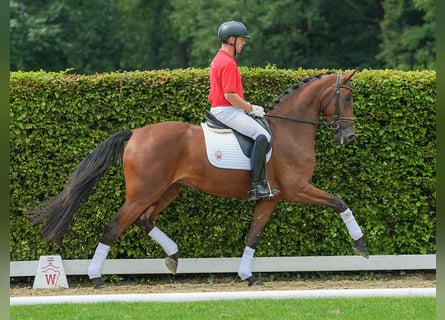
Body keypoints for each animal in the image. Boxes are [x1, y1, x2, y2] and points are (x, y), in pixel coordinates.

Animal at [28, 69, 368, 288]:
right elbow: (340, 202)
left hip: (169, 189)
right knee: (115, 225)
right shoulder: (298, 189)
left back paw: (173, 256)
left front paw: (248, 275)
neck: (290, 129)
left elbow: (253, 236)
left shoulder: (271, 198)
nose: (349, 138)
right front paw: (361, 245)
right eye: (347, 99)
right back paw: (96, 277)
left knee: (145, 219)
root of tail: (136, 133)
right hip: (144, 191)